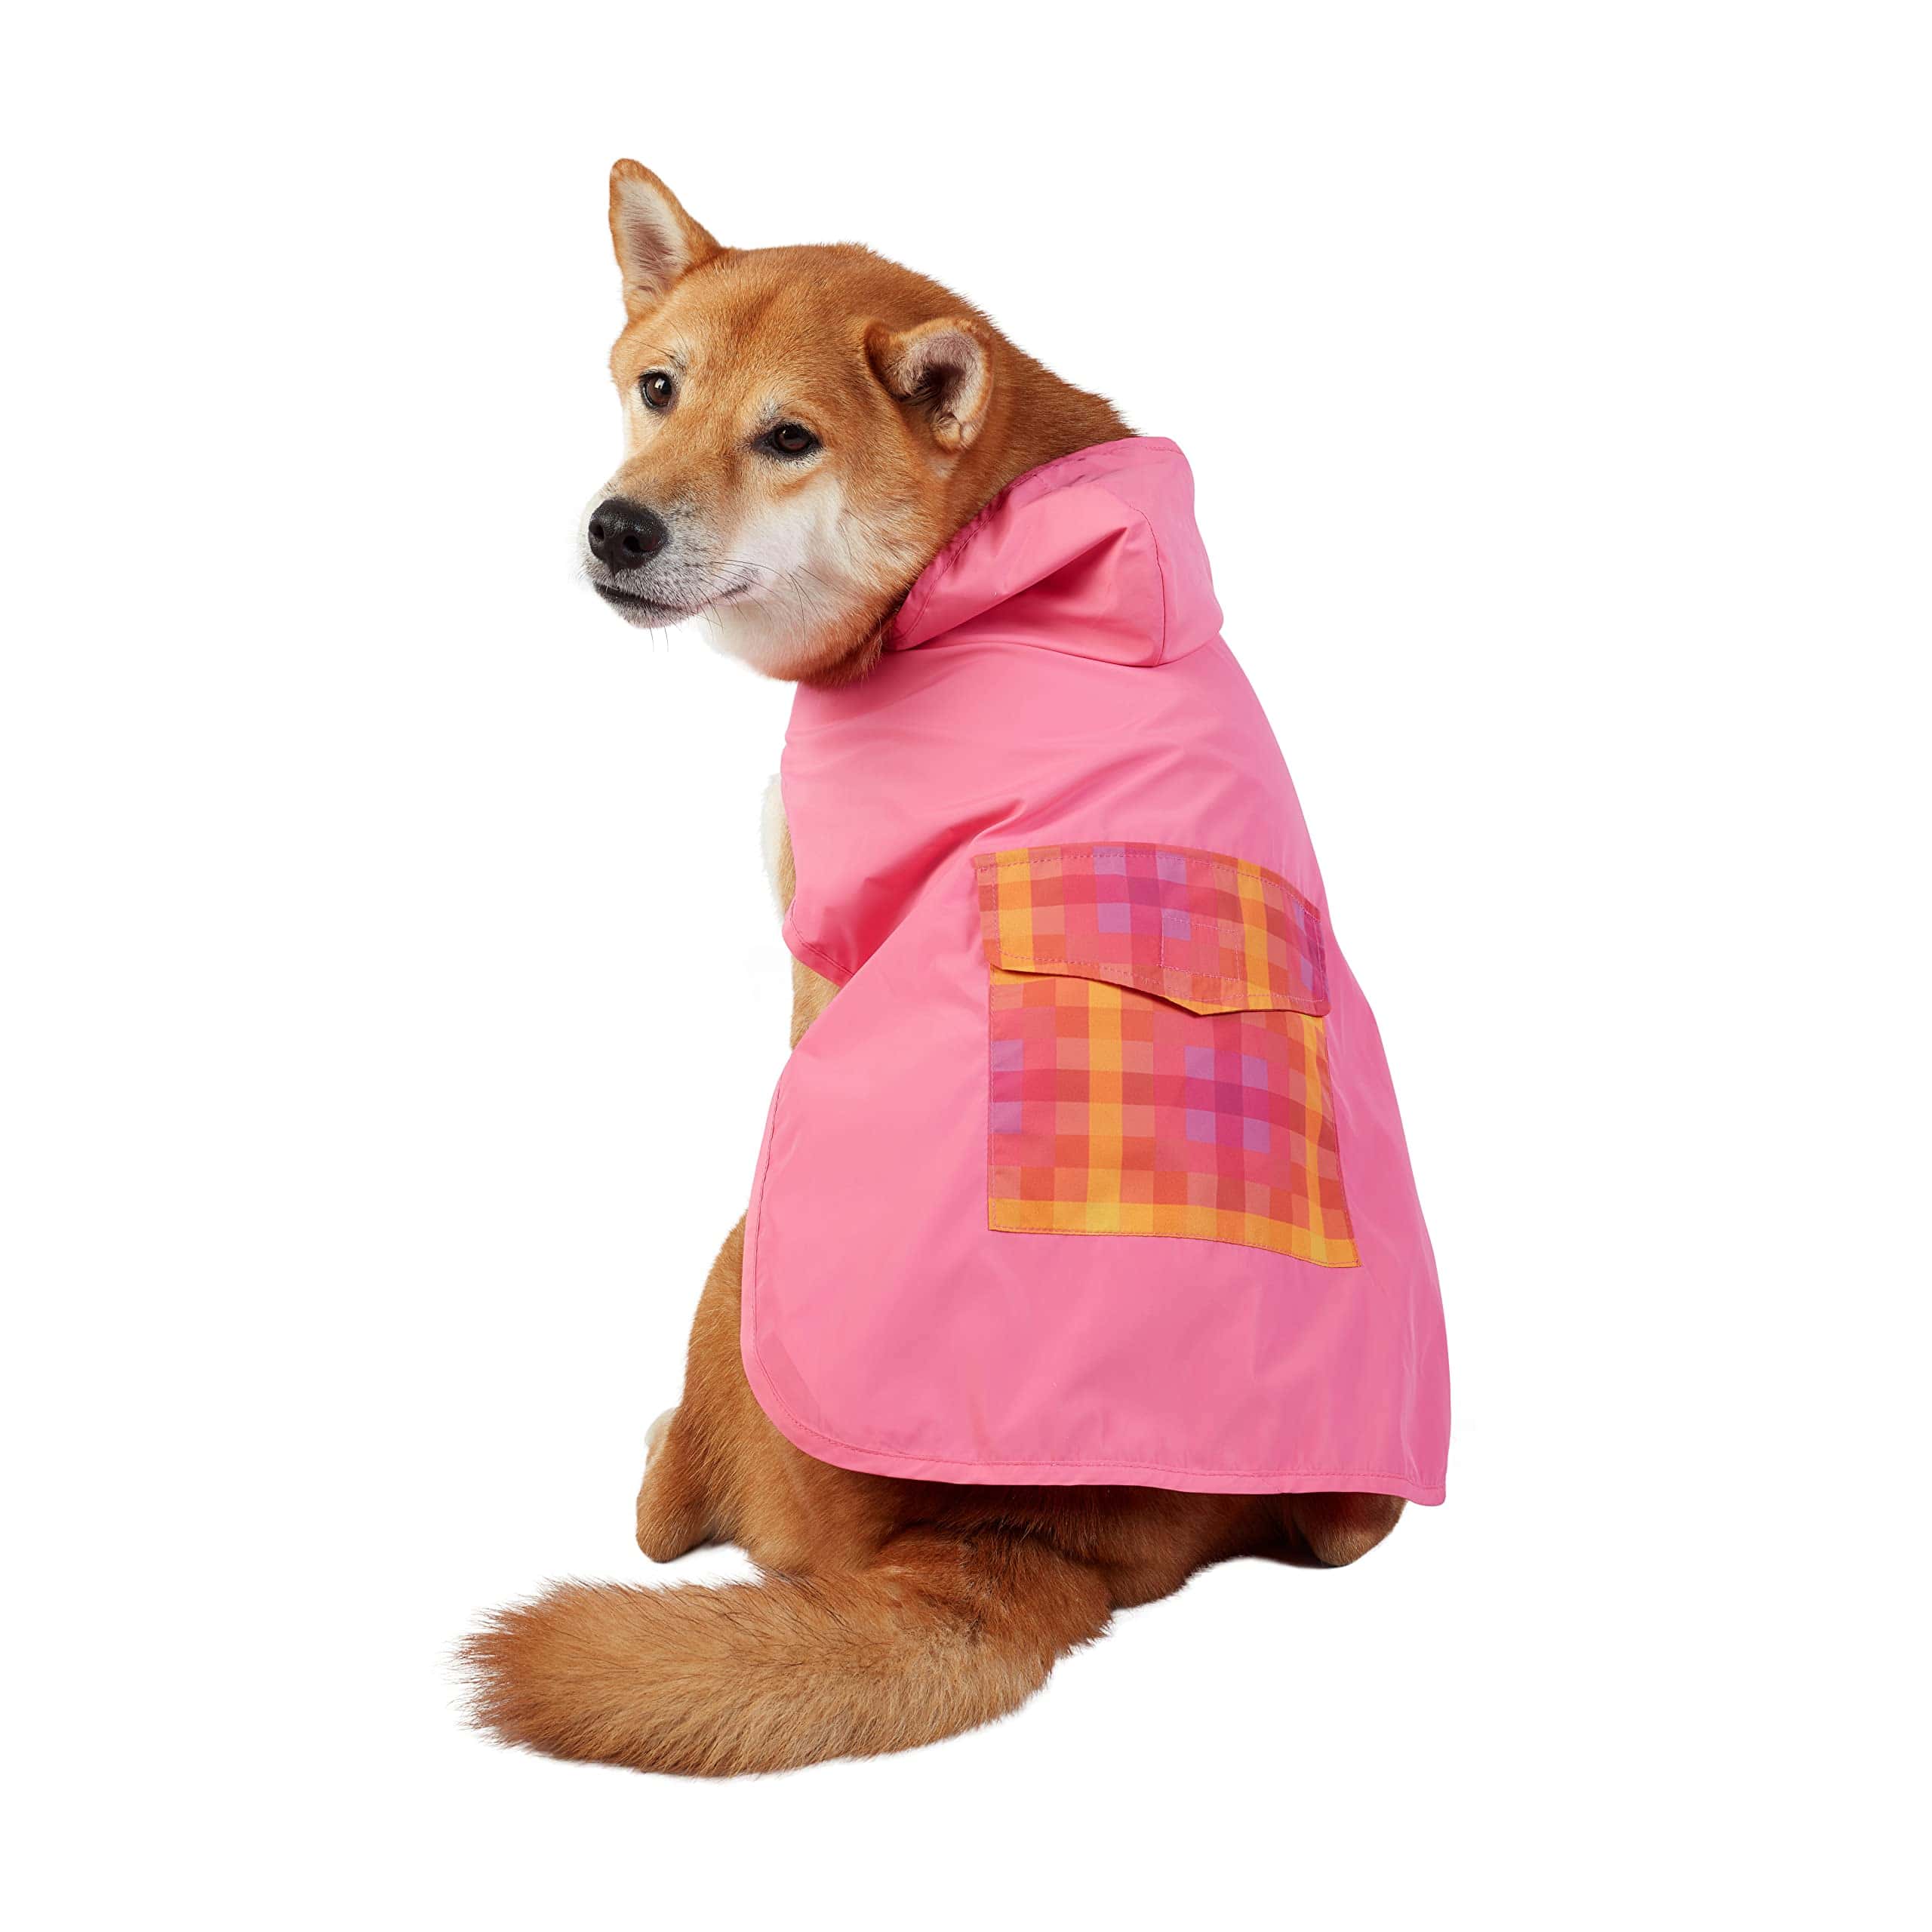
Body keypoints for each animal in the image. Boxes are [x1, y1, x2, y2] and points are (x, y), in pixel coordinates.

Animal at [463, 162, 1448, 1776]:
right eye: (657, 388)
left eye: (788, 438)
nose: (615, 528)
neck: (981, 563)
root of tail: (1025, 1527)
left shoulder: (822, 948)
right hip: (1341, 1504)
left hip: (742, 1252)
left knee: (676, 1515)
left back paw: (661, 1468)